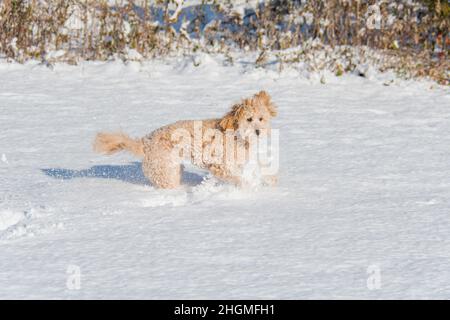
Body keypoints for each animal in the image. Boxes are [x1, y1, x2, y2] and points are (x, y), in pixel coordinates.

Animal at [93, 90, 278, 189]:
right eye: (249, 119)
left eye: (261, 118)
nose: (258, 131)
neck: (236, 134)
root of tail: (145, 142)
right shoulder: (219, 165)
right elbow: (236, 178)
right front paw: (247, 187)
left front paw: (269, 181)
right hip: (165, 171)